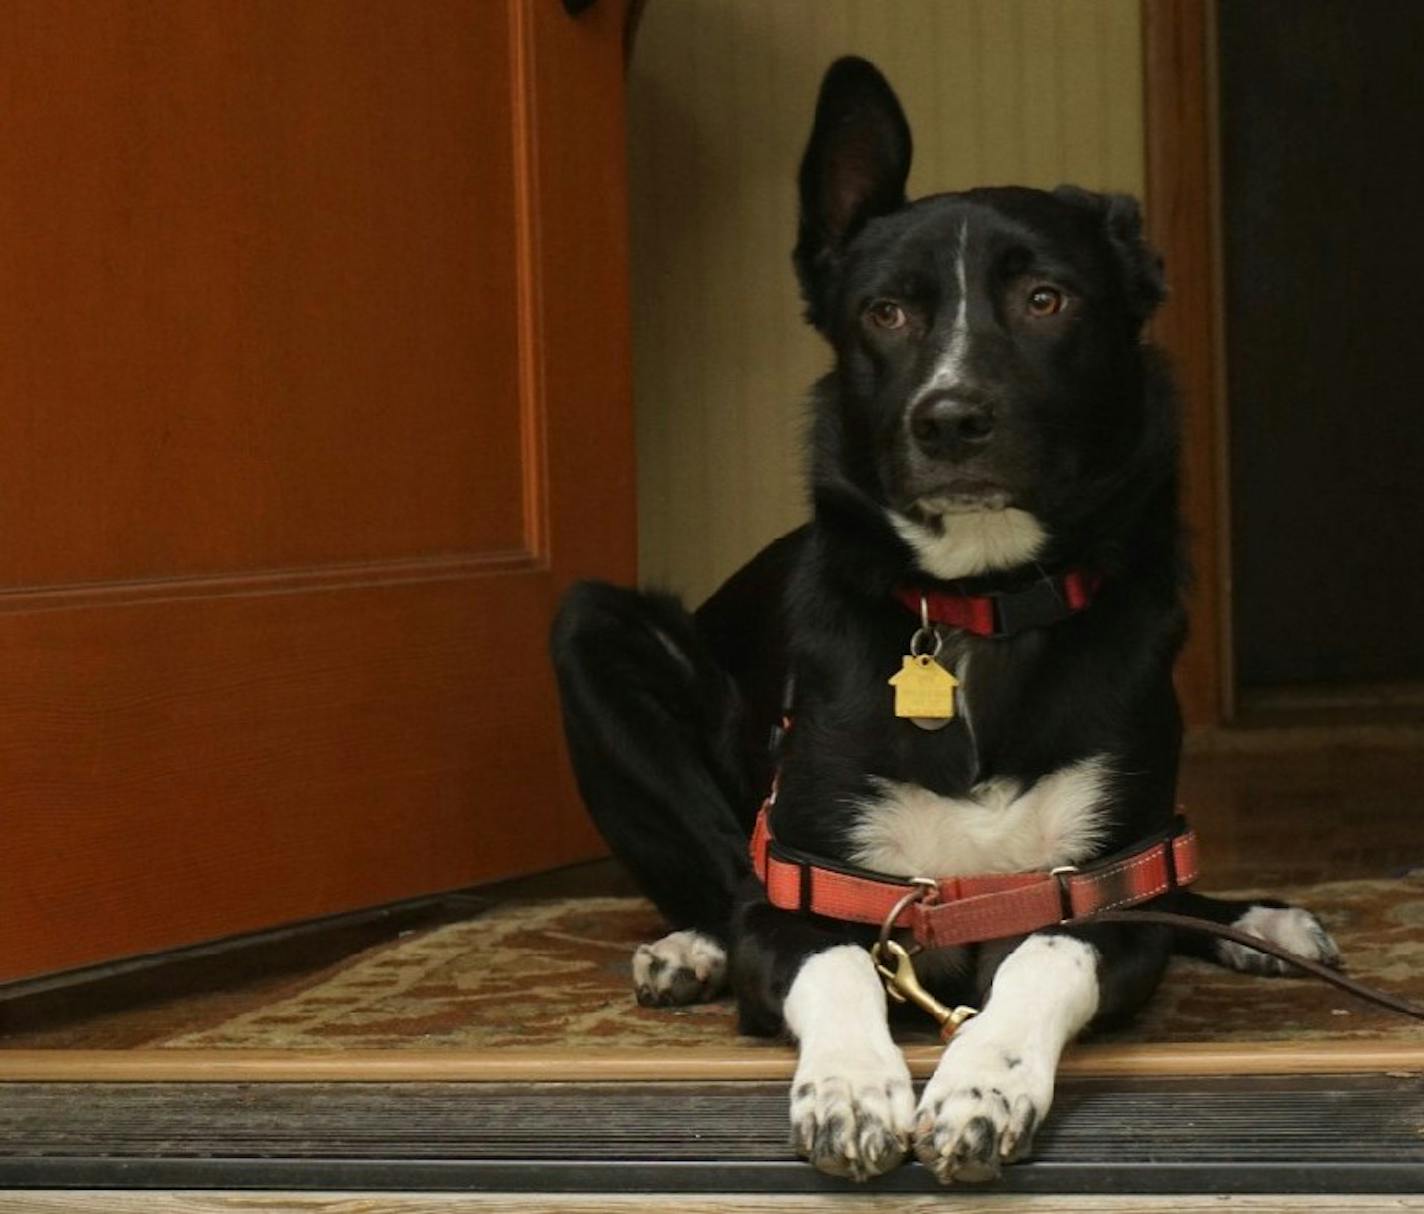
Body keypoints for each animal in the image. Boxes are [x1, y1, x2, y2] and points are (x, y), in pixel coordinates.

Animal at [552, 59, 1332, 1184]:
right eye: (884, 312)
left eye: (1045, 299)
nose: (949, 418)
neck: (977, 605)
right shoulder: (811, 892)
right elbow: (832, 955)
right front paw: (848, 1084)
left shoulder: (1102, 902)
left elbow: (1048, 951)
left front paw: (979, 1083)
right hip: (588, 632)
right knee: (721, 868)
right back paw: (690, 947)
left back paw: (1256, 922)